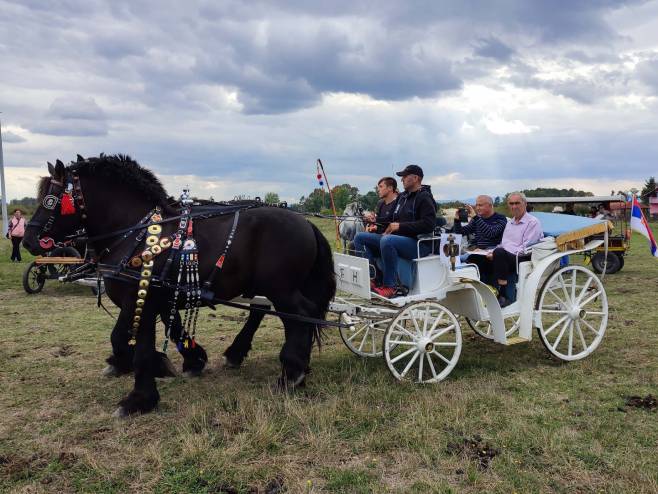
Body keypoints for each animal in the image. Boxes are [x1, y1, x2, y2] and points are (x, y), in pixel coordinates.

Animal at [23, 155, 336, 416]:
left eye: (50, 200)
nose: (28, 240)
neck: (136, 231)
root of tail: (306, 222)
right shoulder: (145, 298)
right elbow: (130, 335)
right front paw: (183, 360)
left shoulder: (143, 298)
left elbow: (141, 348)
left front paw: (140, 398)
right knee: (282, 316)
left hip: (281, 289)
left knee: (301, 315)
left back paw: (291, 372)